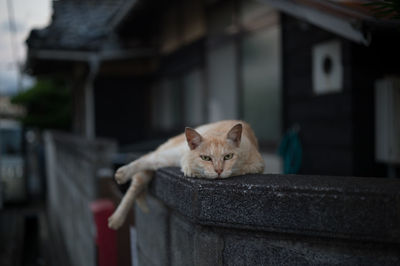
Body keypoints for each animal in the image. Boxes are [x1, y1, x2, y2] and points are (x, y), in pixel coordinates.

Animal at [108, 120, 264, 229]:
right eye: (206, 158)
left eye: (228, 156)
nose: (219, 170)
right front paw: (192, 169)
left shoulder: (257, 165)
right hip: (169, 154)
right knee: (146, 158)